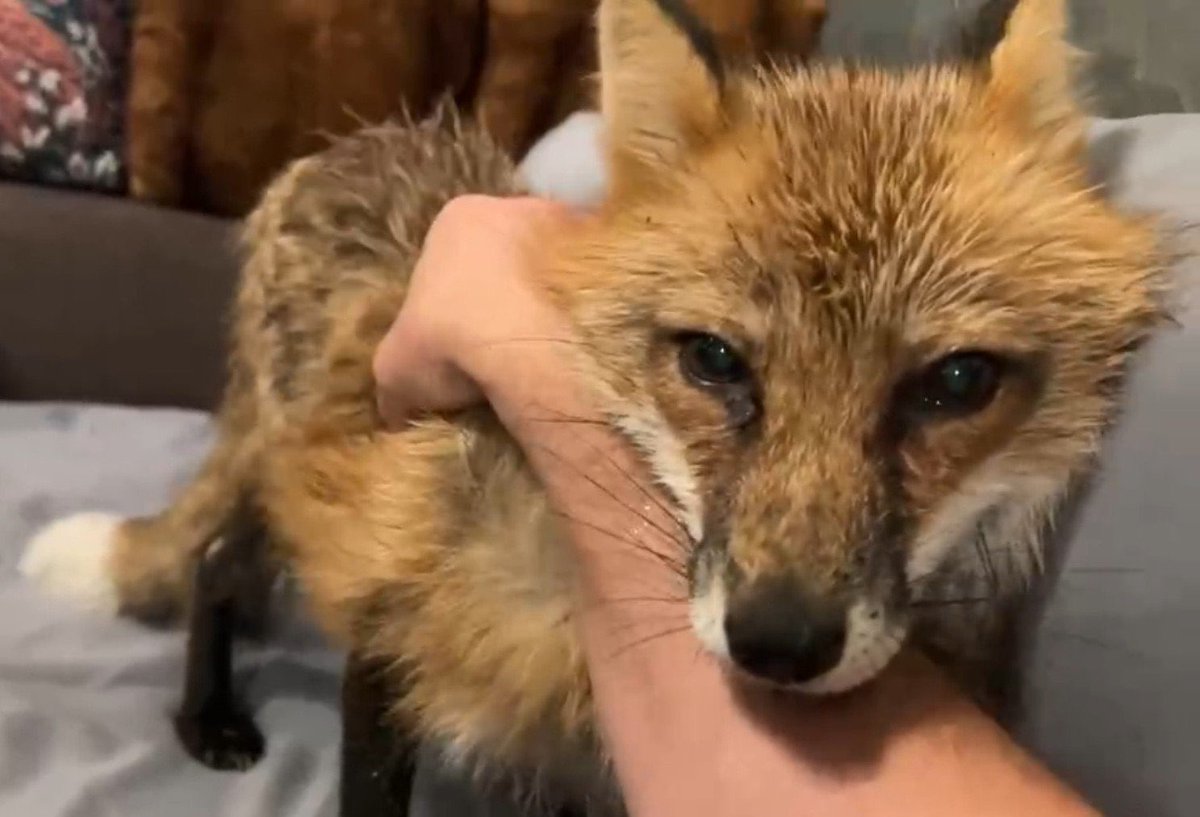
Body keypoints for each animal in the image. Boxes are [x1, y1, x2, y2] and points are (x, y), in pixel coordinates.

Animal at [21, 0, 1170, 814]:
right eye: (714, 360)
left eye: (956, 382)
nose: (780, 640)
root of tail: (352, 144)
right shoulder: (387, 631)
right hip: (279, 473)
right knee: (216, 564)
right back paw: (209, 716)